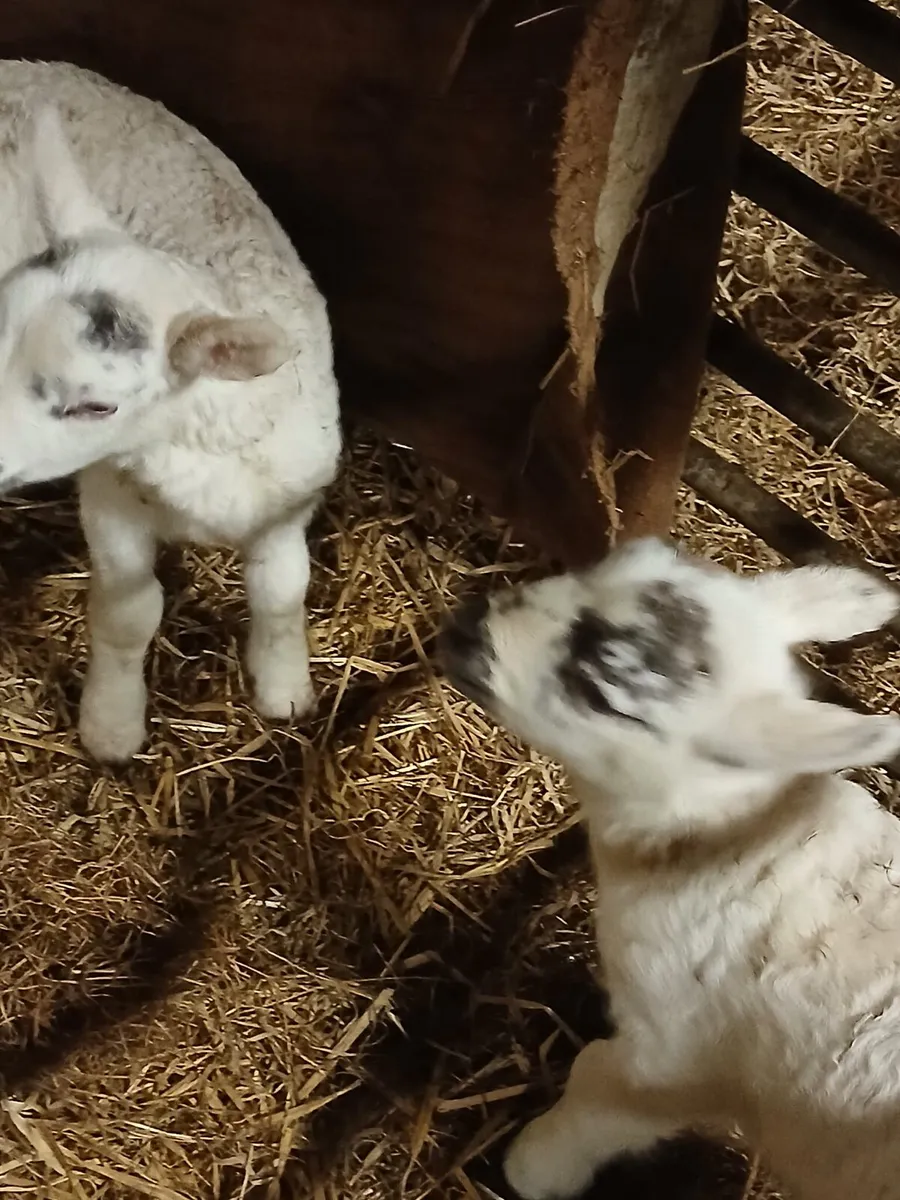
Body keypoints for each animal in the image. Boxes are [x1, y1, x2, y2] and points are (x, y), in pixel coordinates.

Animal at [0, 62, 341, 763]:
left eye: (95, 406)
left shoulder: (287, 503)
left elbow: (282, 591)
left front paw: (286, 690)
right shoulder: (110, 502)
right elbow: (129, 614)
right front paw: (112, 723)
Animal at [439, 536, 900, 1200]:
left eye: (602, 693)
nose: (464, 626)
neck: (730, 838)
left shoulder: (668, 1058)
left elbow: (595, 1088)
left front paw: (529, 1170)